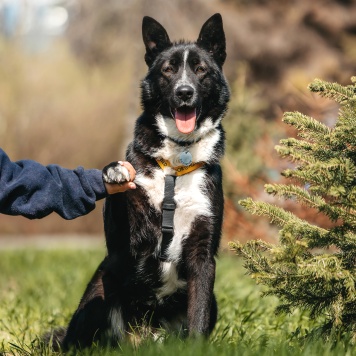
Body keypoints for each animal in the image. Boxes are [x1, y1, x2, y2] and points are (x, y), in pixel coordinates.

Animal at [52, 12, 231, 350]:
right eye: (168, 70)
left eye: (200, 69)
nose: (184, 92)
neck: (176, 162)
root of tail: (141, 338)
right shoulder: (127, 240)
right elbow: (125, 194)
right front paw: (115, 171)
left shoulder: (203, 252)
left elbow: (198, 313)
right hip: (98, 292)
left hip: (210, 302)